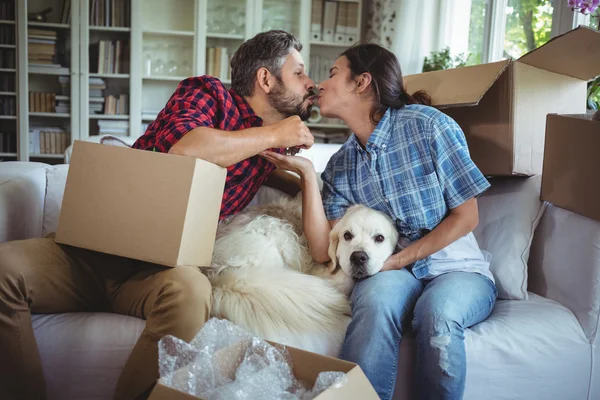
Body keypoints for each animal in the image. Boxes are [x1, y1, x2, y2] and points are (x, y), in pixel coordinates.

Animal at [205, 194, 398, 354]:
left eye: (379, 238)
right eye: (347, 235)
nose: (358, 258)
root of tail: (216, 275)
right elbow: (344, 277)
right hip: (278, 232)